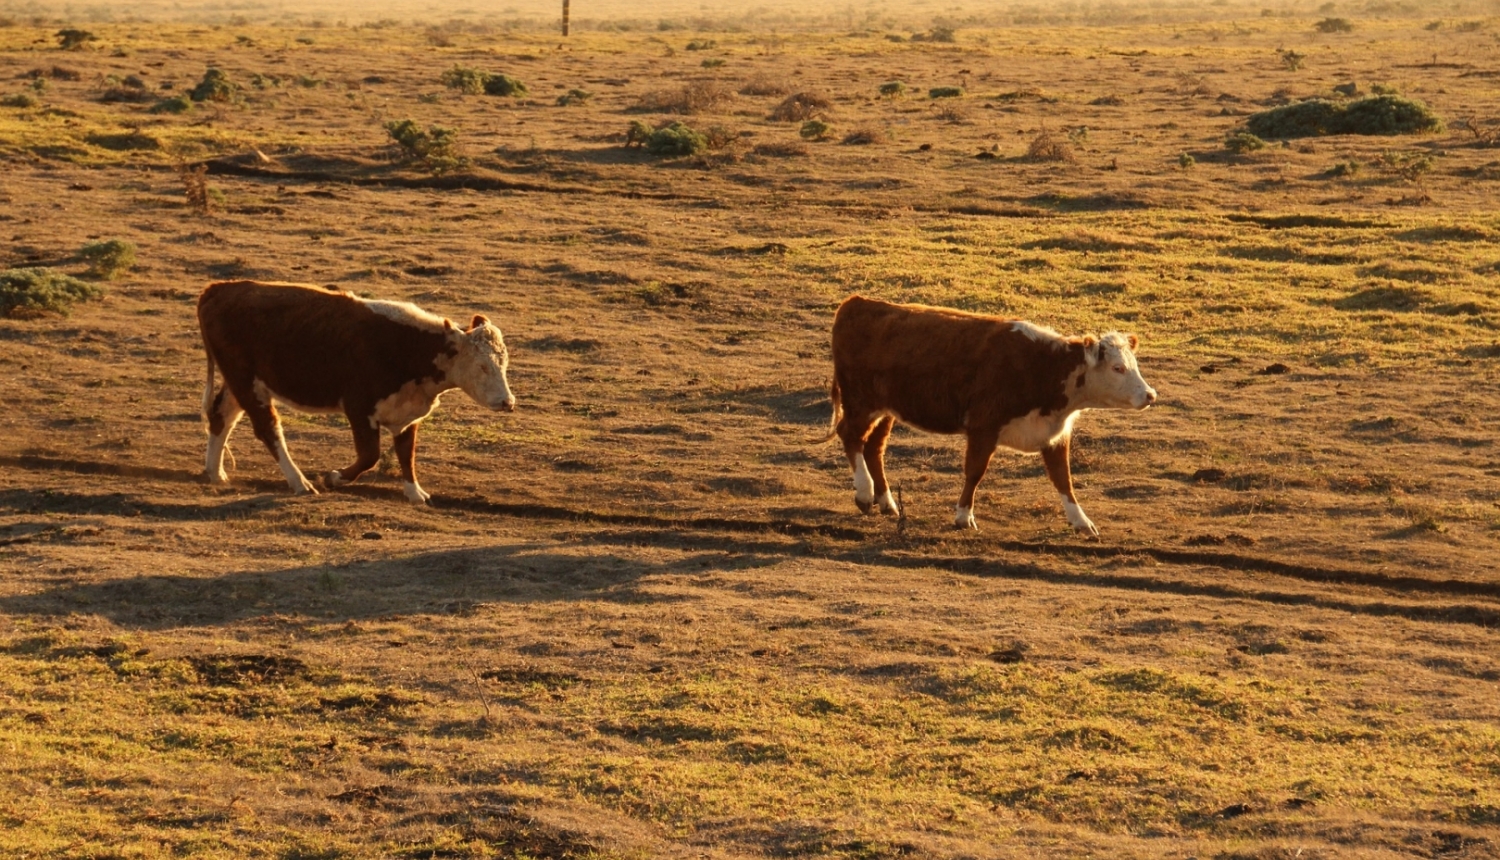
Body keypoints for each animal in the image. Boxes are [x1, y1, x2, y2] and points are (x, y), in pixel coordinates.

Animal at [199, 277, 516, 504]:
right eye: (482, 366)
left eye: (504, 363)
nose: (508, 402)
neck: (409, 348)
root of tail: (220, 289)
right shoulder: (359, 408)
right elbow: (370, 455)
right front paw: (334, 477)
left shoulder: (408, 413)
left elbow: (406, 454)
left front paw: (415, 493)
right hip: (247, 383)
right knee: (268, 429)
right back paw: (300, 482)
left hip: (241, 383)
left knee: (222, 416)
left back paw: (216, 473)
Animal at [822, 295, 1158, 537]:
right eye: (1117, 368)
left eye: (1134, 364)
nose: (1150, 395)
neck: (1043, 367)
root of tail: (857, 303)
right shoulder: (983, 427)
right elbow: (975, 472)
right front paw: (963, 516)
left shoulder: (1054, 434)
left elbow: (1064, 479)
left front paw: (1082, 522)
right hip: (861, 402)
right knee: (850, 435)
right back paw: (865, 493)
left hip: (886, 410)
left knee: (873, 447)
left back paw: (887, 502)